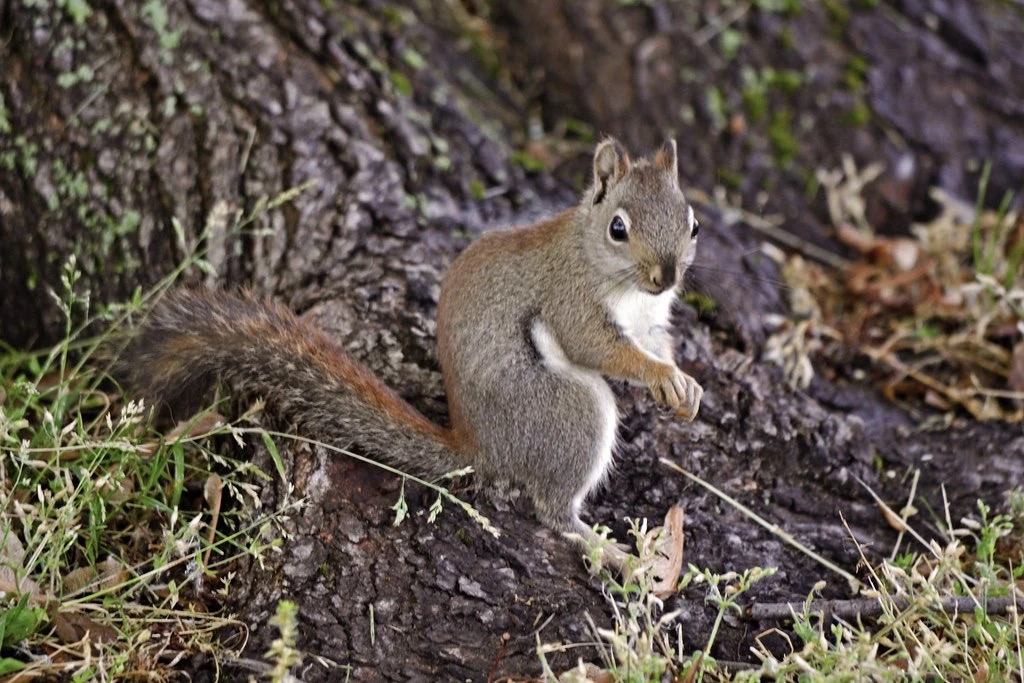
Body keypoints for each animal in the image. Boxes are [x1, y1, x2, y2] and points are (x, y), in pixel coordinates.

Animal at [117, 137, 703, 569]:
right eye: (618, 228)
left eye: (693, 223)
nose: (667, 275)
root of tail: (478, 447)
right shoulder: (571, 297)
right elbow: (596, 345)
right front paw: (658, 375)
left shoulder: (651, 319)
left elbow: (657, 342)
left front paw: (683, 384)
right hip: (568, 414)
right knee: (553, 512)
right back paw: (616, 555)